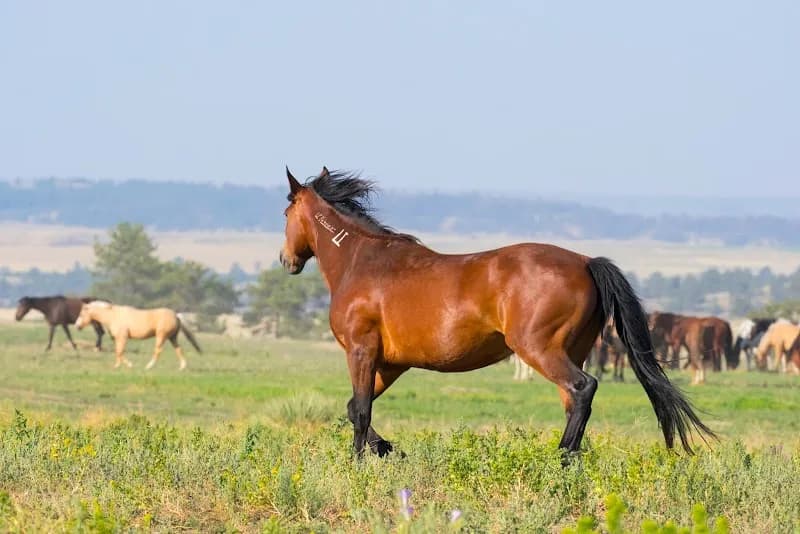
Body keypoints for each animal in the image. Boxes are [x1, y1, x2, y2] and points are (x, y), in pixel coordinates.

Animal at [279, 167, 713, 457]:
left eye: (286, 214)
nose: (286, 260)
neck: (361, 262)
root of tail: (587, 262)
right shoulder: (391, 363)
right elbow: (355, 407)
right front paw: (387, 449)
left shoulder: (362, 351)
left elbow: (360, 411)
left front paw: (358, 462)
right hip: (572, 350)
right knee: (575, 401)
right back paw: (570, 459)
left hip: (539, 349)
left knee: (583, 388)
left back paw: (560, 459)